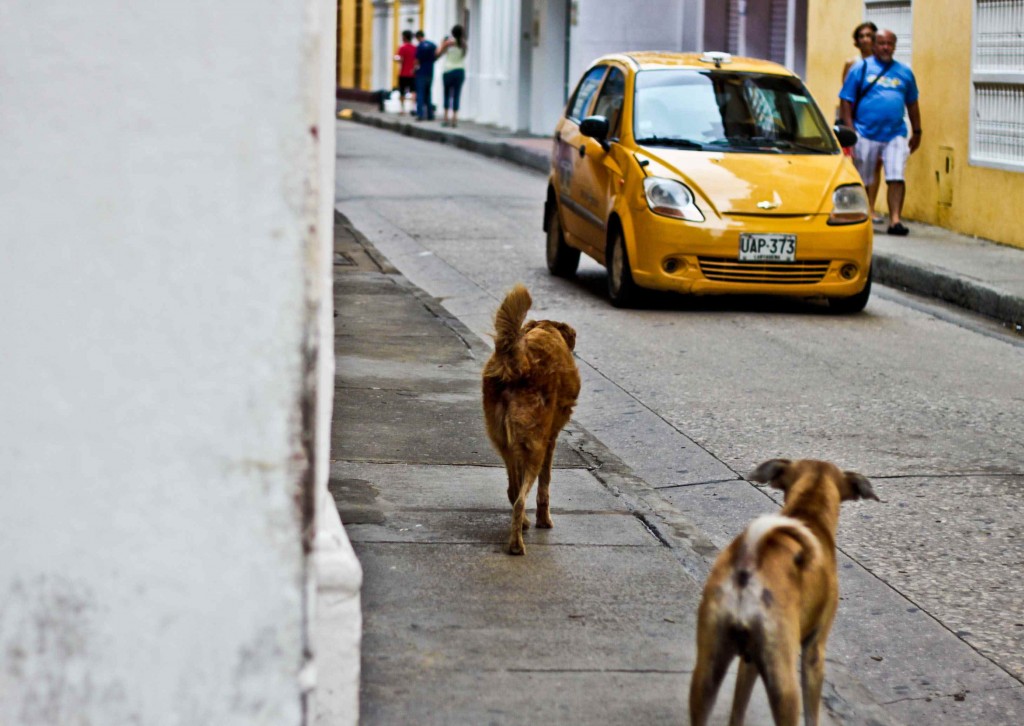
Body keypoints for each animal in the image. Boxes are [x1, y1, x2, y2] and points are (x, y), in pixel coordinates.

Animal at [481, 282, 581, 557]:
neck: (546, 329)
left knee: (513, 490)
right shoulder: (551, 439)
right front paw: (544, 521)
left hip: (504, 440)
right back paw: (517, 544)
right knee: (520, 499)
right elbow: (545, 485)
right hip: (535, 443)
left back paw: (522, 525)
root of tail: (518, 361)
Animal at [692, 460, 876, 720]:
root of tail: (748, 568)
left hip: (707, 672)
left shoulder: (749, 662)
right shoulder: (814, 652)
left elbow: (738, 709)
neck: (808, 512)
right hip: (784, 683)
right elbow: (812, 714)